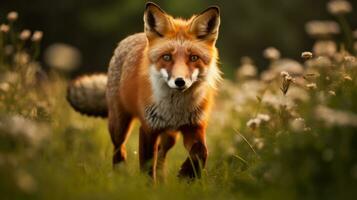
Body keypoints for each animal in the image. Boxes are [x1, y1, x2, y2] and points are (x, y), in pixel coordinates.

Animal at [67, 1, 220, 180]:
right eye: (167, 57)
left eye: (194, 58)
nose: (180, 82)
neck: (175, 110)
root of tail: (134, 36)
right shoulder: (148, 128)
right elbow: (147, 169)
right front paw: (150, 186)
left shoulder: (194, 126)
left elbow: (201, 152)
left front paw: (187, 174)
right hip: (119, 125)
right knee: (119, 149)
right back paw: (120, 175)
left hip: (170, 136)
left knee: (161, 153)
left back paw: (162, 180)